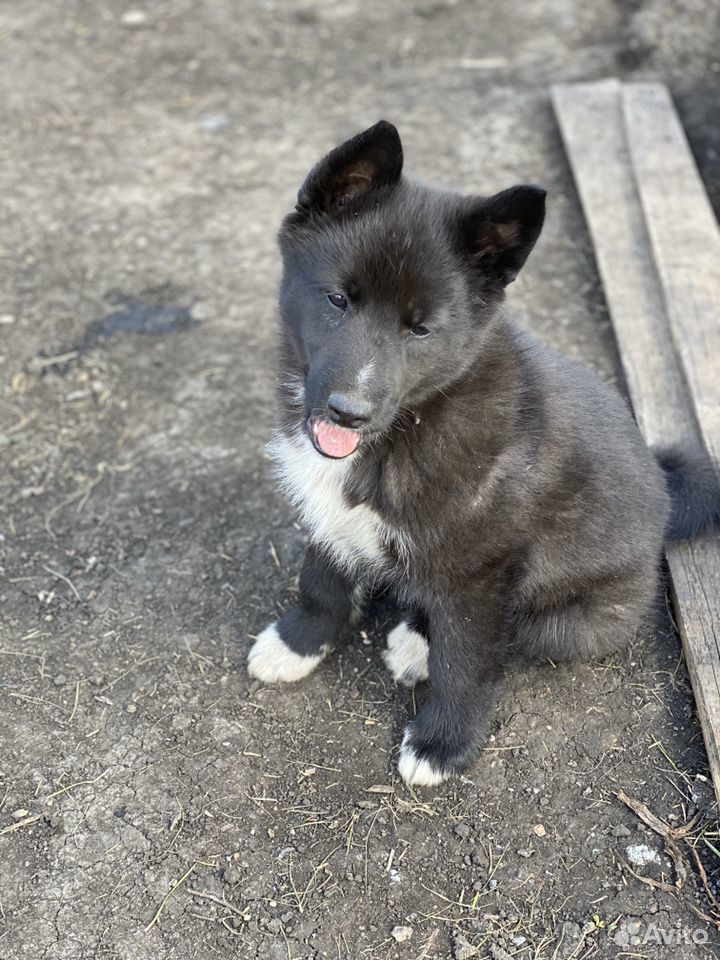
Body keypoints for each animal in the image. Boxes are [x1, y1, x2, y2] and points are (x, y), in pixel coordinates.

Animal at [249, 120, 720, 788]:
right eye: (338, 299)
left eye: (420, 329)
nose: (347, 412)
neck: (413, 422)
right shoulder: (330, 513)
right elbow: (321, 580)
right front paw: (297, 644)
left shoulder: (483, 569)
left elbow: (469, 663)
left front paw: (442, 744)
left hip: (569, 616)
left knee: (510, 640)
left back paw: (418, 646)